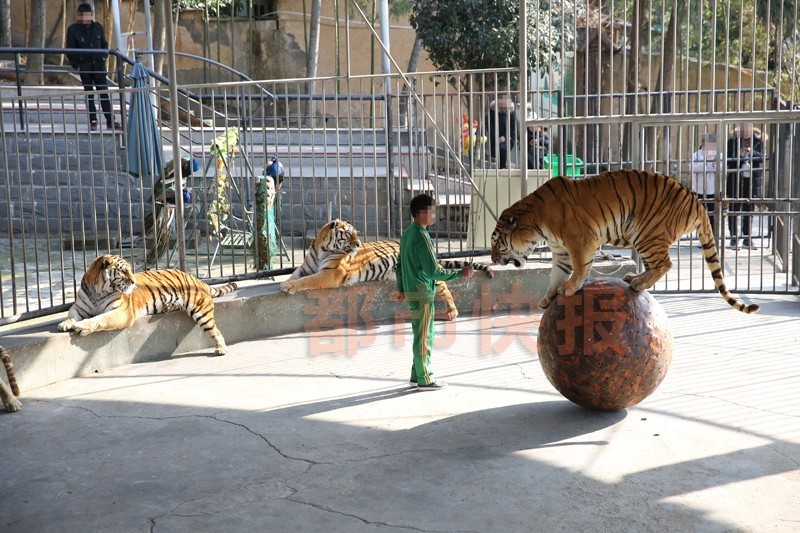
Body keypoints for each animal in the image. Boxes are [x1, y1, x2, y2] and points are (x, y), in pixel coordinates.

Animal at [59, 255, 238, 356]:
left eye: (130, 270)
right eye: (123, 271)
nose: (133, 282)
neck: (98, 290)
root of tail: (197, 279)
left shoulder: (122, 313)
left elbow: (100, 319)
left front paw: (82, 326)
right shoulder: (79, 307)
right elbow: (71, 316)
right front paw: (65, 324)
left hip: (200, 310)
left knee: (215, 331)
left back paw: (222, 349)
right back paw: (168, 306)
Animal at [282, 218, 494, 318]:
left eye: (356, 234)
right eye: (349, 234)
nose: (359, 244)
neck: (322, 248)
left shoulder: (331, 273)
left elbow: (308, 280)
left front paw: (289, 287)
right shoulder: (306, 267)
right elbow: (296, 275)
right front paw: (286, 283)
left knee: (443, 285)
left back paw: (452, 311)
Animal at [490, 168, 760, 314]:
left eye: (496, 242)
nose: (491, 259)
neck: (537, 224)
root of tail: (696, 200)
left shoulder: (580, 242)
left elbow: (579, 270)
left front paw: (569, 288)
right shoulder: (561, 251)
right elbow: (555, 275)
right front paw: (548, 298)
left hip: (646, 234)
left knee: (665, 264)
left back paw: (638, 283)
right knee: (656, 266)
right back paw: (634, 278)